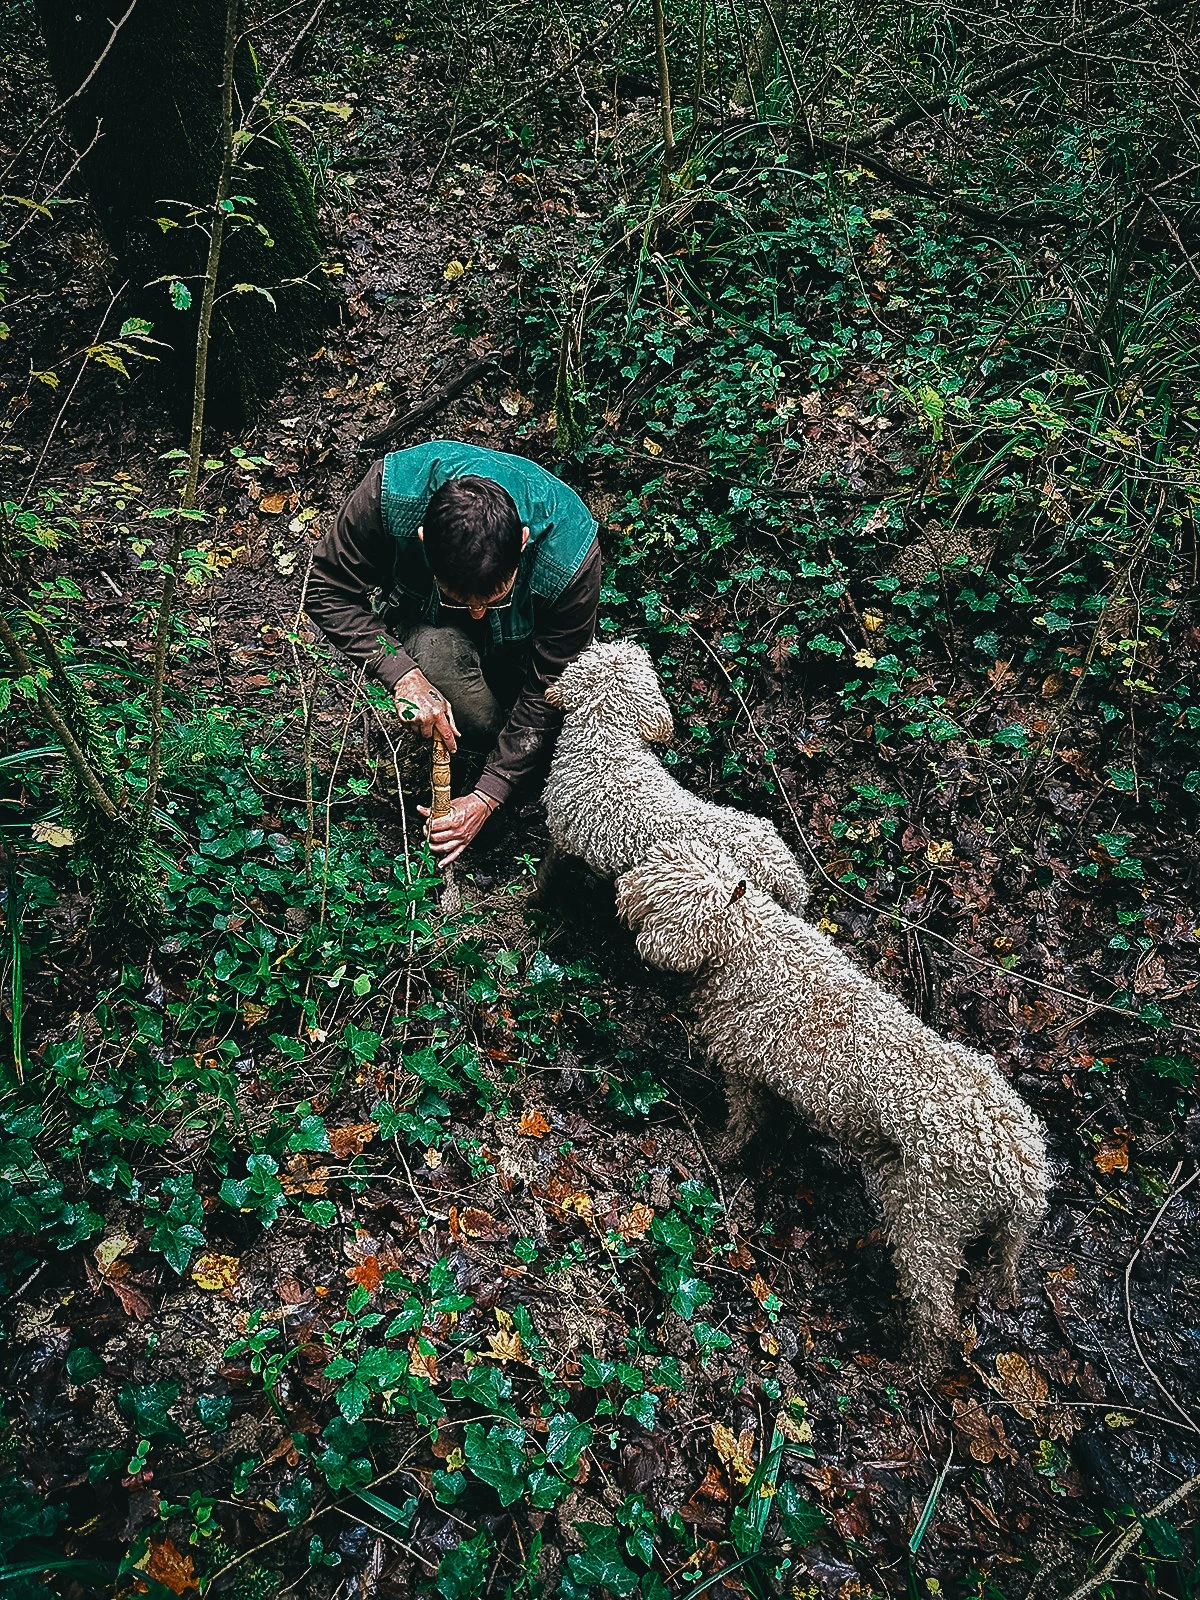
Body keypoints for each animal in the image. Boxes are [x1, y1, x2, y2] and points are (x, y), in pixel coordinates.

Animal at [620, 838, 1049, 1350]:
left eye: (657, 893)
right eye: (652, 866)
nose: (622, 889)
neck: (752, 948)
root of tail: (1026, 1172)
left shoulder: (745, 1067)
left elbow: (744, 1119)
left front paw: (721, 1151)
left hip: (929, 1221)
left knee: (936, 1313)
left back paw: (913, 1355)